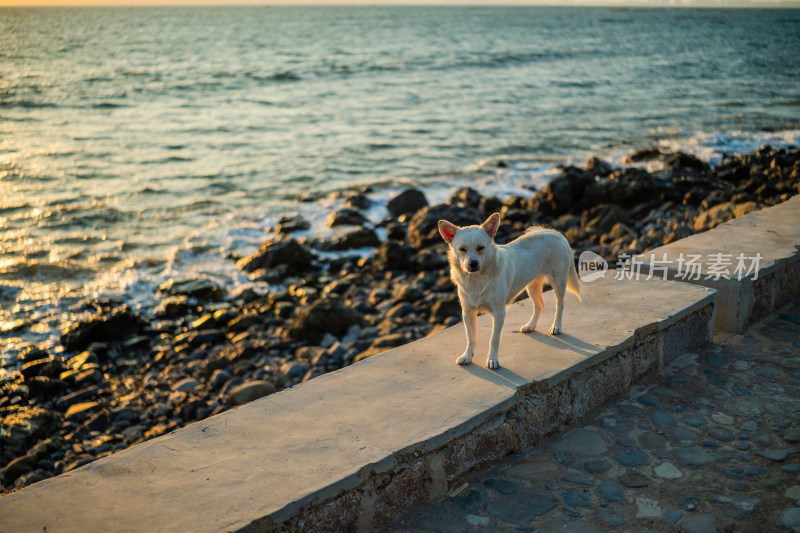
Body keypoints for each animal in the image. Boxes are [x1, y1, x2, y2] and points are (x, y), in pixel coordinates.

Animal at [438, 212, 580, 370]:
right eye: (462, 249)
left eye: (481, 248)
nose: (473, 263)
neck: (476, 279)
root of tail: (556, 233)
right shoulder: (468, 312)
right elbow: (470, 338)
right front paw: (468, 356)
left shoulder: (499, 313)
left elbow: (494, 339)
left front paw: (492, 359)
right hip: (531, 286)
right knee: (539, 305)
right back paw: (530, 325)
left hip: (559, 281)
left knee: (560, 304)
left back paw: (556, 326)